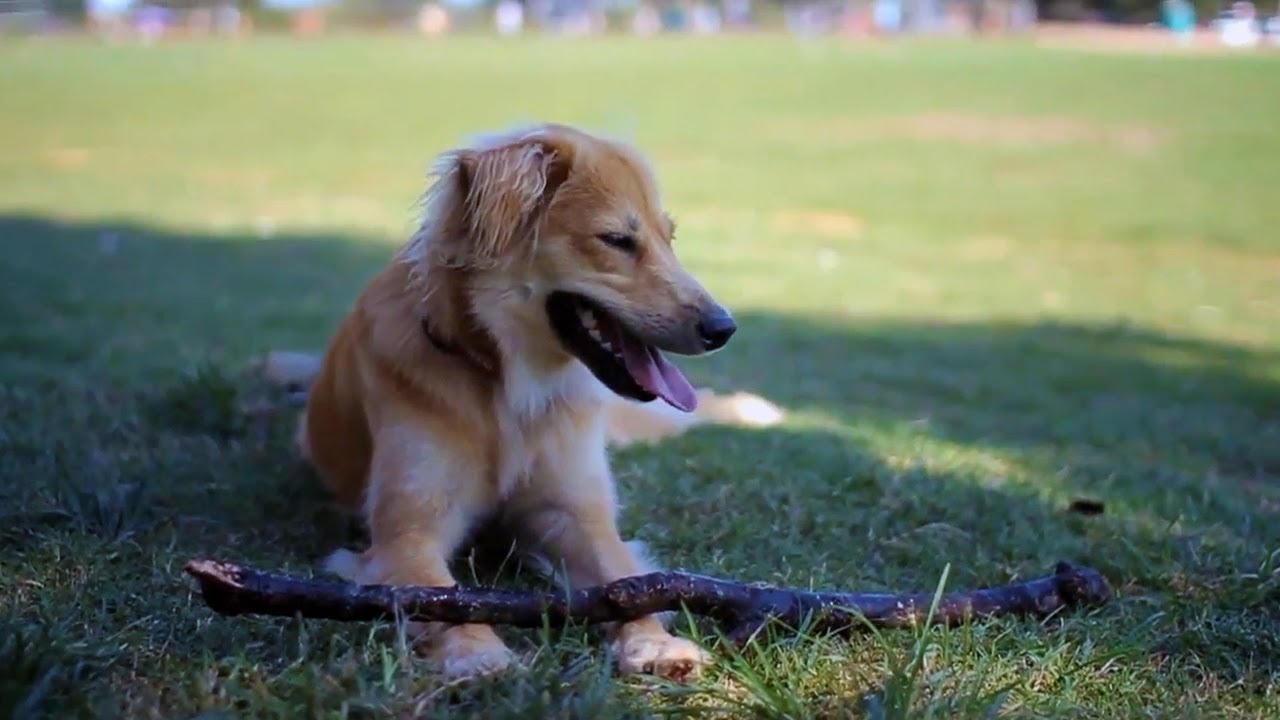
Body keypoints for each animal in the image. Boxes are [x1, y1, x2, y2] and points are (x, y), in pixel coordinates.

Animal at [291, 124, 768, 681]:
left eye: (669, 238)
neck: (504, 388)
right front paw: (477, 653)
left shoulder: (575, 511)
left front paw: (654, 643)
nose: (723, 328)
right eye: (617, 241)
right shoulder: (406, 531)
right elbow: (444, 596)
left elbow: (626, 582)